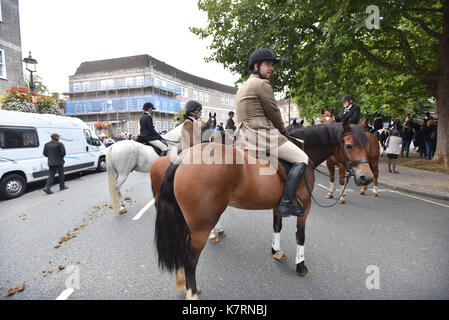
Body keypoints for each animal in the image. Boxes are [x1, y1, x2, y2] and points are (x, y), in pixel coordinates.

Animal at [150, 118, 372, 300]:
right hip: (201, 226)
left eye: (367, 145)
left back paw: (184, 284)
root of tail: (182, 158)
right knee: (190, 258)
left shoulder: (277, 206)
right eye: (349, 146)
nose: (366, 178)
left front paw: (276, 251)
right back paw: (192, 292)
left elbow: (277, 227)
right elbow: (300, 236)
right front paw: (301, 266)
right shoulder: (305, 207)